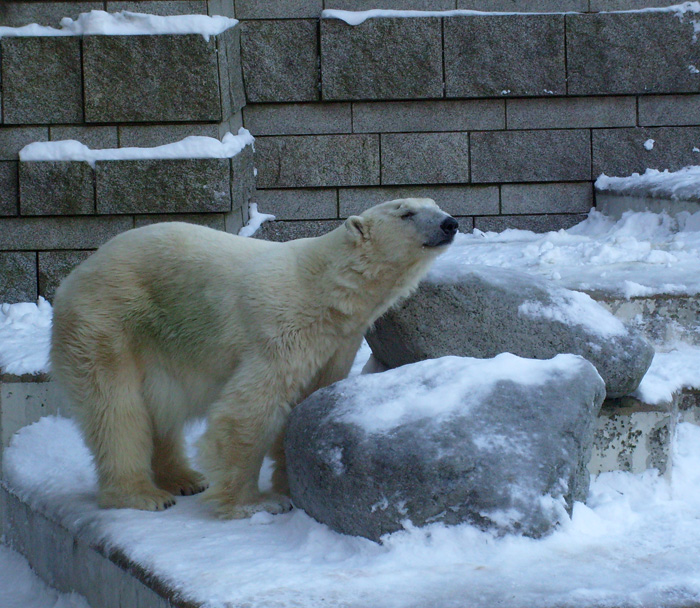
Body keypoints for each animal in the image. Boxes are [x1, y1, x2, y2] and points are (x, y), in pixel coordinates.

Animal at [47, 200, 454, 516]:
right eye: (407, 212)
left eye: (435, 204)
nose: (450, 223)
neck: (327, 288)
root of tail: (74, 277)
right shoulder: (283, 328)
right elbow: (251, 410)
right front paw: (257, 502)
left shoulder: (338, 343)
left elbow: (308, 401)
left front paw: (291, 482)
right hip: (106, 323)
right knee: (115, 409)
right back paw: (142, 494)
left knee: (159, 410)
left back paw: (184, 479)